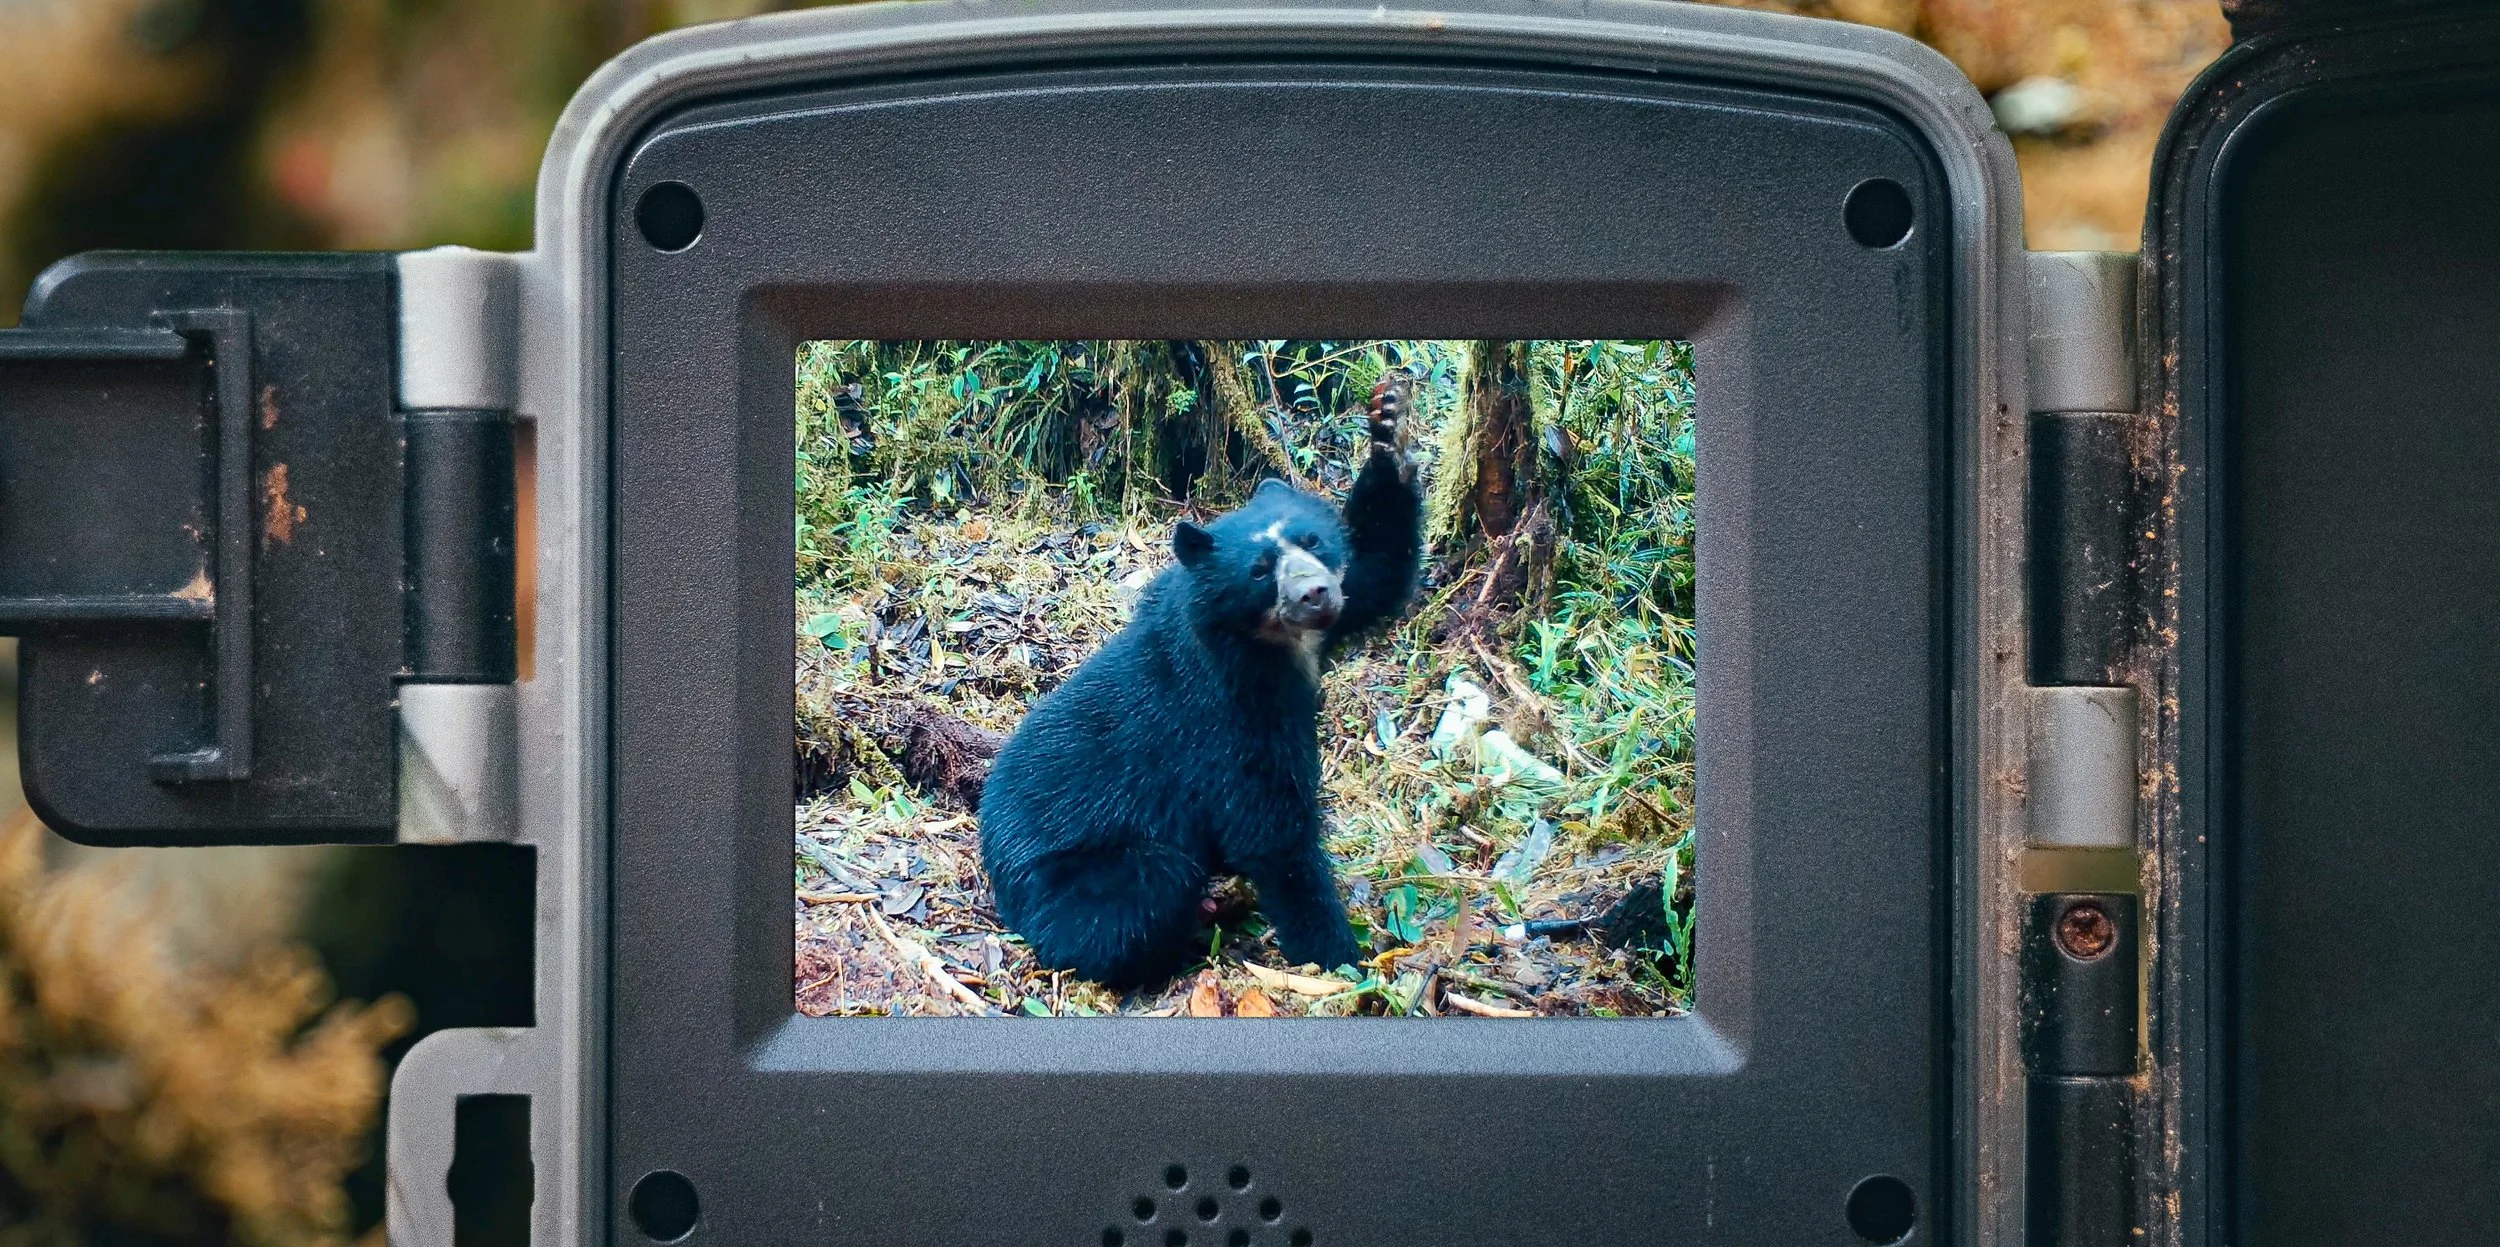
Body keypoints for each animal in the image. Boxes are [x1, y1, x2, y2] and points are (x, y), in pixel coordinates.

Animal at [977, 376, 1425, 989]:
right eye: (1259, 570)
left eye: (1312, 542)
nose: (1314, 595)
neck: (1268, 646)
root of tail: (994, 865)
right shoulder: (1225, 713)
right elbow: (1270, 828)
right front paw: (1341, 960)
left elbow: (1375, 572)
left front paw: (1389, 428)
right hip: (1071, 877)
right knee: (1141, 894)